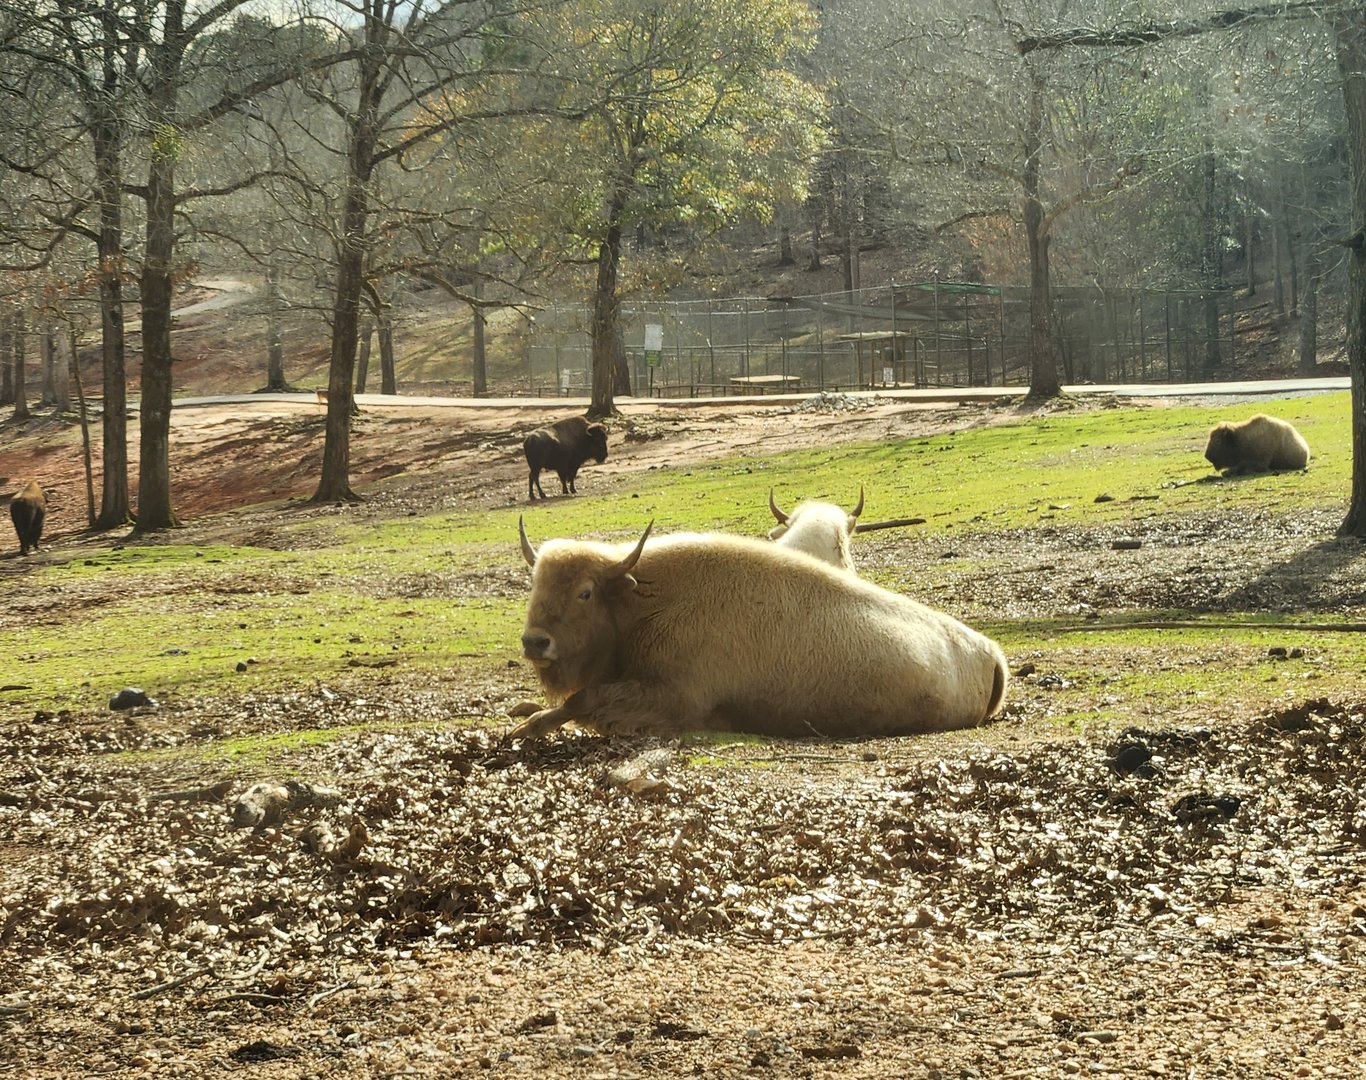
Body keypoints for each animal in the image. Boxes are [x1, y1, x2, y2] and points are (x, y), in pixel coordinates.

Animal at [512, 519, 1009, 739]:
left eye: (585, 592)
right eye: (534, 583)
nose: (535, 642)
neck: (644, 599)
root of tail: (990, 652)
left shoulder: (675, 698)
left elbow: (582, 699)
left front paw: (529, 727)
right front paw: (524, 719)